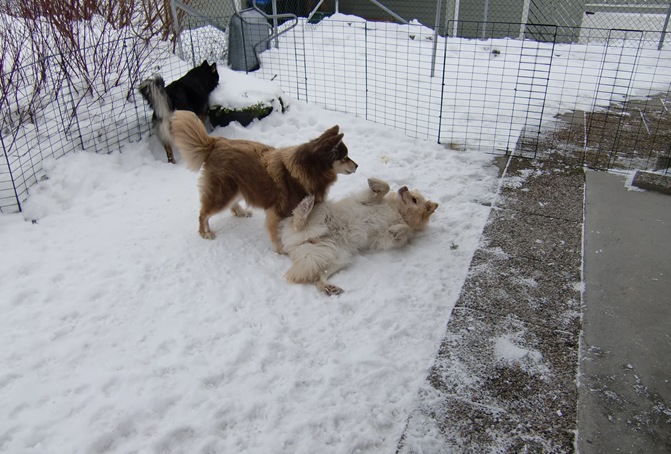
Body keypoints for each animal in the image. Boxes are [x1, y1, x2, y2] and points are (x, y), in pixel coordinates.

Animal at [280, 177, 438, 294]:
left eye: (414, 200)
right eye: (411, 192)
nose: (404, 187)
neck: (397, 211)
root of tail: (299, 242)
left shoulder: (384, 239)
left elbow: (402, 231)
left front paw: (396, 229)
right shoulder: (366, 200)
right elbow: (385, 187)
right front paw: (374, 183)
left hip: (337, 258)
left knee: (318, 277)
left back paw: (329, 287)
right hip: (322, 213)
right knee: (298, 222)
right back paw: (306, 205)